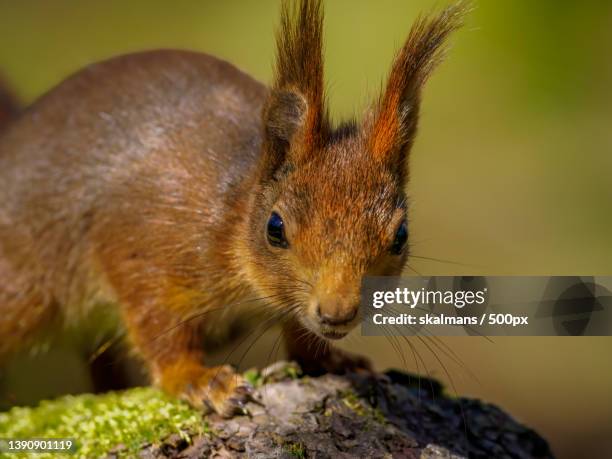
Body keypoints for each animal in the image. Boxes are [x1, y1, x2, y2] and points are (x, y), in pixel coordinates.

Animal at [0, 0, 464, 416]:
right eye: (275, 228)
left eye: (400, 236)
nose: (338, 312)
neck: (232, 217)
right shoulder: (140, 243)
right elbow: (157, 325)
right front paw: (197, 380)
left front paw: (333, 360)